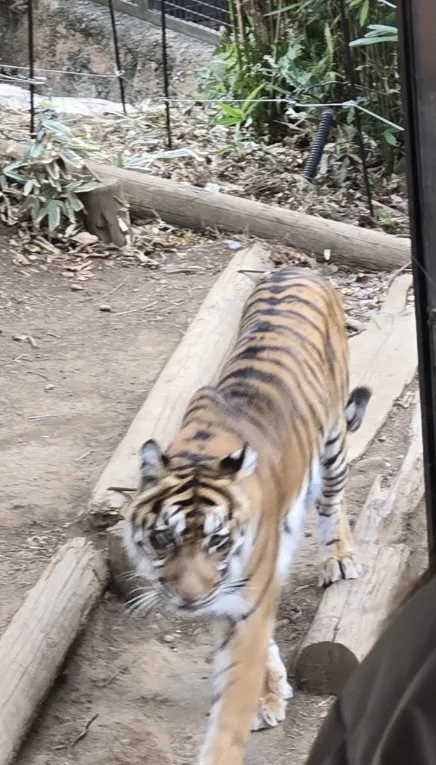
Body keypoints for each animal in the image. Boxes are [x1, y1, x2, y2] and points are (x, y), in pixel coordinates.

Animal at [122, 265, 371, 765]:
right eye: (162, 539)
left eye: (218, 541)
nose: (189, 600)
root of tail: (296, 268)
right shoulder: (233, 596)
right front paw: (269, 696)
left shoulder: (245, 595)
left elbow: (232, 704)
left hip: (334, 438)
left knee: (333, 501)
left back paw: (339, 558)